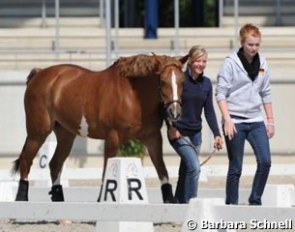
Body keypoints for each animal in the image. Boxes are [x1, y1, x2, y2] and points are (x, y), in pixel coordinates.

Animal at [12, 54, 188, 203]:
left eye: (182, 82)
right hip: (38, 132)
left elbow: (162, 169)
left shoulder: (153, 138)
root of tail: (40, 73)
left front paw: (170, 200)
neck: (133, 97)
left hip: (65, 135)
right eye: (162, 81)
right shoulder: (112, 137)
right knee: (26, 161)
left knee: (55, 164)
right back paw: (21, 198)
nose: (175, 113)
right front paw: (104, 198)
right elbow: (107, 169)